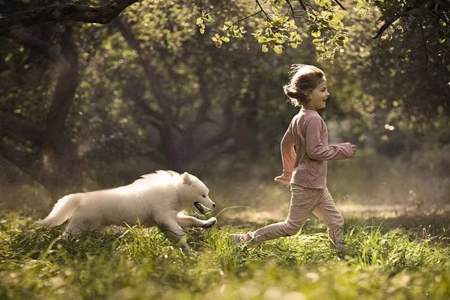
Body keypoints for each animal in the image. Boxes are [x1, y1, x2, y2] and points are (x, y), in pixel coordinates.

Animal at [37, 170, 217, 250]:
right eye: (203, 195)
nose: (214, 205)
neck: (175, 192)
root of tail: (82, 197)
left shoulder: (171, 217)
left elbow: (192, 220)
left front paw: (208, 223)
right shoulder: (164, 217)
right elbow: (180, 234)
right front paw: (188, 250)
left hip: (90, 228)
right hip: (79, 226)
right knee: (64, 236)